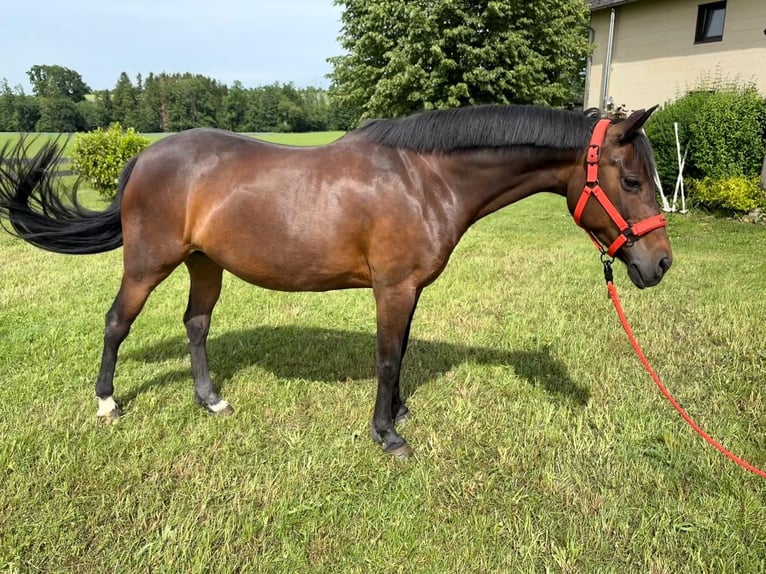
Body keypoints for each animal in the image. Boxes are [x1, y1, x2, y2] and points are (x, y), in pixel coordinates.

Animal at [0, 104, 672, 457]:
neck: (424, 177)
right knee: (117, 322)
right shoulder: (393, 288)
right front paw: (387, 434)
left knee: (196, 324)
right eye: (632, 180)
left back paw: (210, 399)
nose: (659, 264)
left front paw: (397, 413)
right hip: (148, 263)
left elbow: (401, 353)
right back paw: (106, 402)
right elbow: (386, 358)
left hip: (204, 263)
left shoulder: (409, 290)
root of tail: (144, 155)